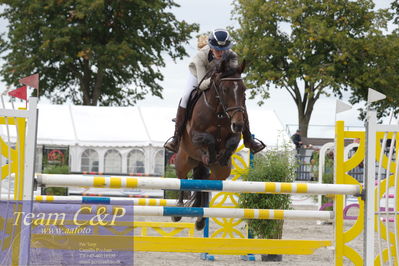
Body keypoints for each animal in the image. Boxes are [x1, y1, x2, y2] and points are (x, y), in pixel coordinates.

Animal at [173, 53, 248, 230]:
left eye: (244, 90)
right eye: (225, 90)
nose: (238, 125)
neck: (219, 112)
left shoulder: (234, 136)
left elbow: (231, 142)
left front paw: (223, 156)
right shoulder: (195, 135)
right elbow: (209, 139)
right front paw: (212, 155)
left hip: (221, 174)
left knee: (205, 184)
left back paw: (200, 218)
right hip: (183, 160)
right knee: (182, 180)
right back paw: (178, 210)